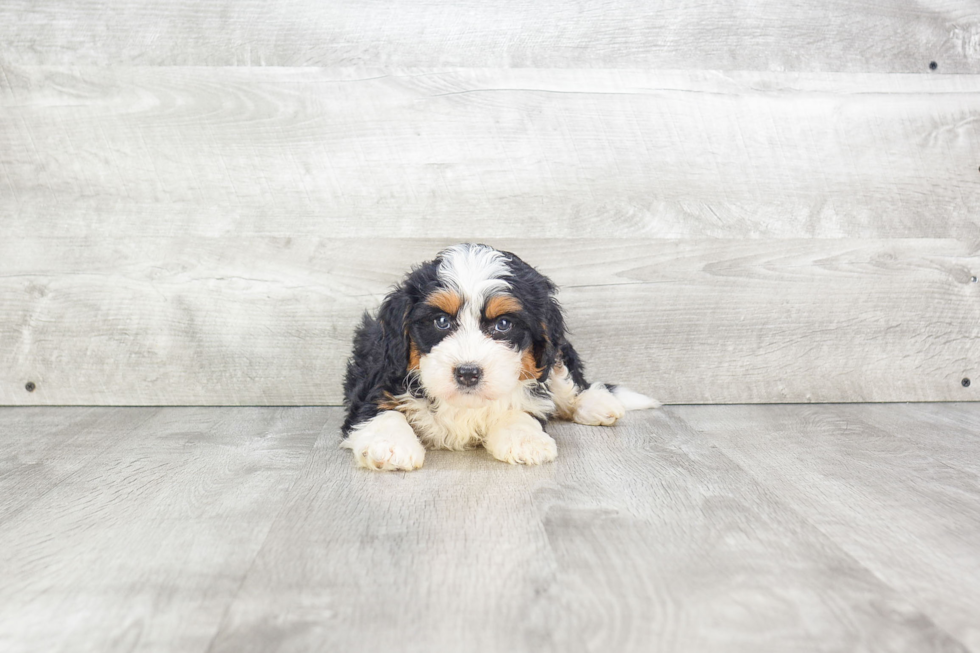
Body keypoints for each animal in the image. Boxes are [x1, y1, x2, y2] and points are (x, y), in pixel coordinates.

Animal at [342, 243, 660, 468]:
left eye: (503, 324)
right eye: (441, 321)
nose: (468, 373)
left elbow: (521, 409)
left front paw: (526, 440)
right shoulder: (378, 377)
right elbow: (381, 411)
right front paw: (390, 446)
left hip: (556, 357)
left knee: (570, 384)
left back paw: (597, 404)